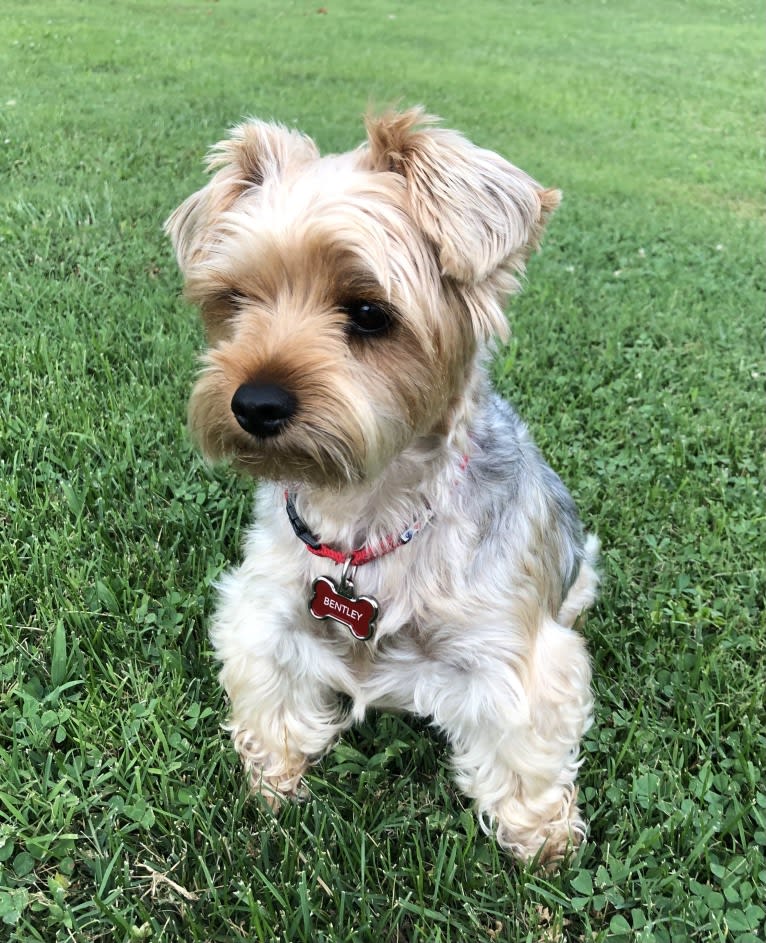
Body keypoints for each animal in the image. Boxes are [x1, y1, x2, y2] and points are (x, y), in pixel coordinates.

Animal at [166, 107, 600, 868]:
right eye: (235, 300)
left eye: (369, 313)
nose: (253, 404)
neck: (365, 508)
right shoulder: (265, 608)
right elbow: (270, 693)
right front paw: (272, 774)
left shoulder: (509, 652)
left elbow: (525, 750)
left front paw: (542, 838)